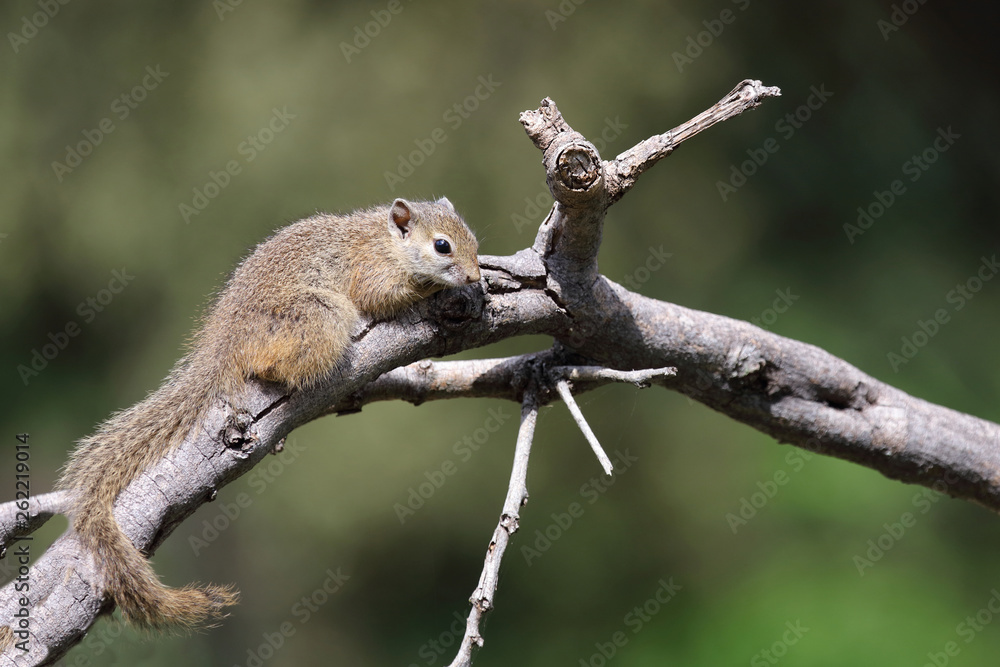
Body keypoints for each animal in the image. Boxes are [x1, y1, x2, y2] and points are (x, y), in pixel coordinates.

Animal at [57, 197, 480, 630]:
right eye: (443, 246)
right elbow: (382, 296)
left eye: (473, 238)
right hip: (319, 316)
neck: (388, 243)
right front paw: (437, 286)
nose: (474, 274)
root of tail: (224, 344)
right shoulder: (370, 271)